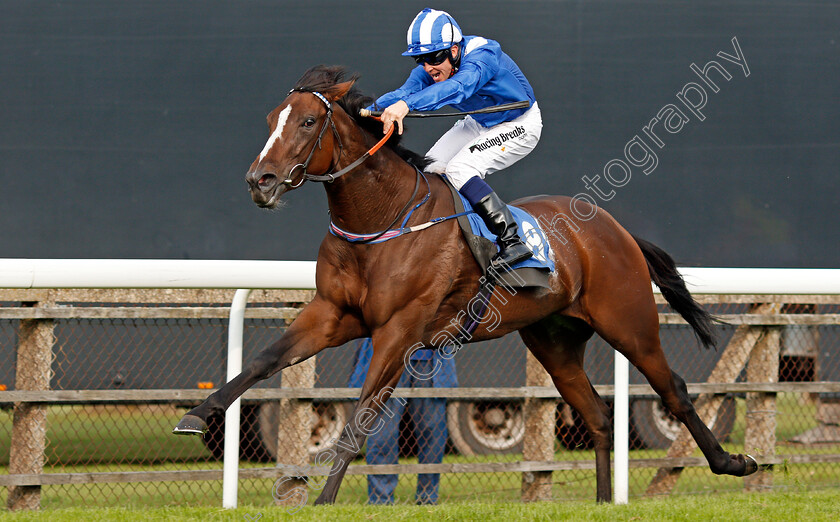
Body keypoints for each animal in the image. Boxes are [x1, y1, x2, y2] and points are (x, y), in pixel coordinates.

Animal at [174, 64, 756, 500]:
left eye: (309, 120)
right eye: (273, 118)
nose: (261, 180)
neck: (381, 217)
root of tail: (613, 227)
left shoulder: (399, 330)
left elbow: (361, 415)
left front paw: (322, 501)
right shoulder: (333, 314)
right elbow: (263, 360)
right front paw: (198, 416)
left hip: (629, 321)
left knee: (675, 390)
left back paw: (733, 463)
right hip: (554, 339)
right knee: (595, 414)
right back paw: (600, 502)